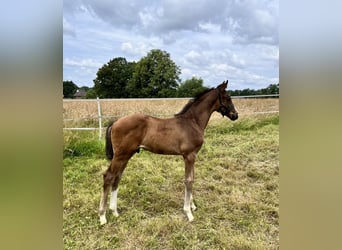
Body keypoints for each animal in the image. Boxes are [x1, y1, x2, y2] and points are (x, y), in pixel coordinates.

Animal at [99, 80, 238, 225]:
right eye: (228, 98)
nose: (235, 115)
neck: (192, 122)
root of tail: (116, 121)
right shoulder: (189, 155)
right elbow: (189, 180)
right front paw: (188, 213)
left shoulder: (192, 156)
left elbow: (192, 177)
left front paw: (192, 206)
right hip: (121, 155)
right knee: (108, 176)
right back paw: (102, 216)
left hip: (126, 155)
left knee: (117, 177)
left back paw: (114, 211)